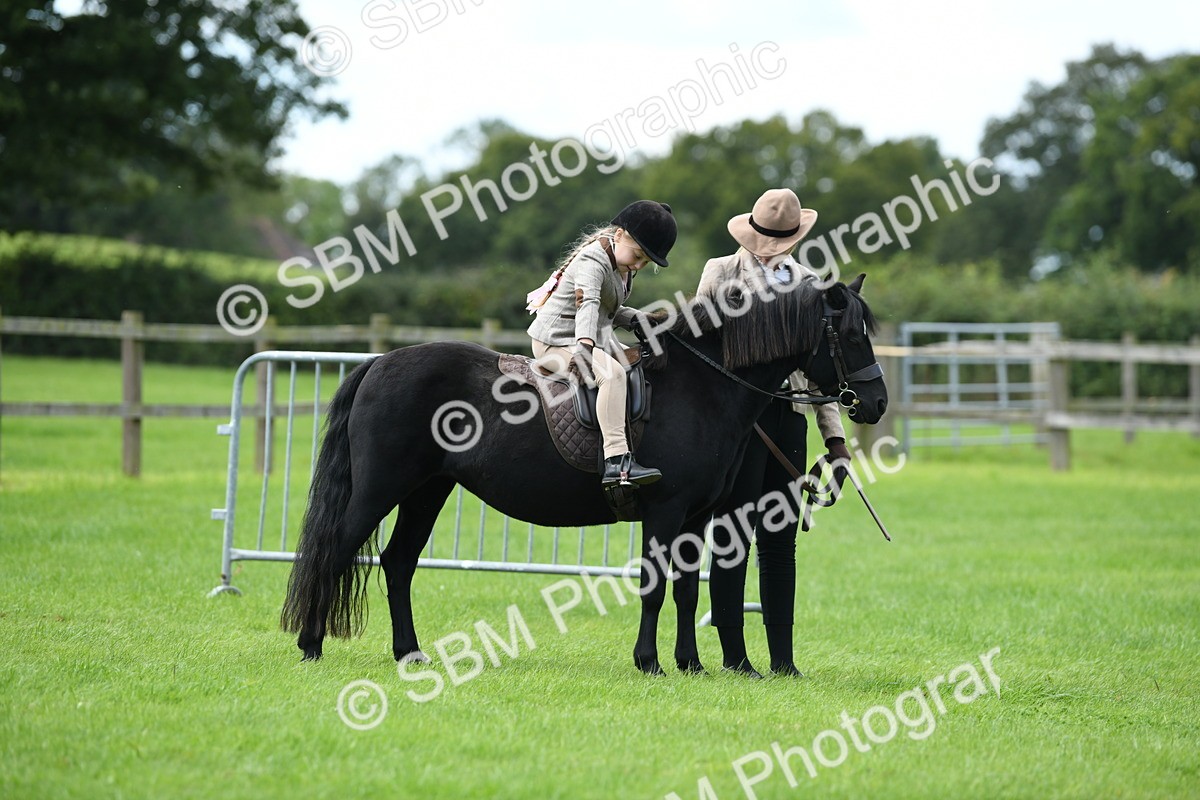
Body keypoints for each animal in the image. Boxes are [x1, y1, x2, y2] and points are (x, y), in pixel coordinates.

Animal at [280, 273, 888, 675]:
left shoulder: (696, 518)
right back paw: (311, 645)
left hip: (427, 491)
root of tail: (380, 362)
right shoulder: (665, 511)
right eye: (852, 334)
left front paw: (689, 663)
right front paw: (650, 662)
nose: (876, 403)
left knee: (398, 562)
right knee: (335, 550)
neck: (701, 384)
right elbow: (654, 587)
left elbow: (687, 592)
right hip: (381, 489)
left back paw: (409, 652)